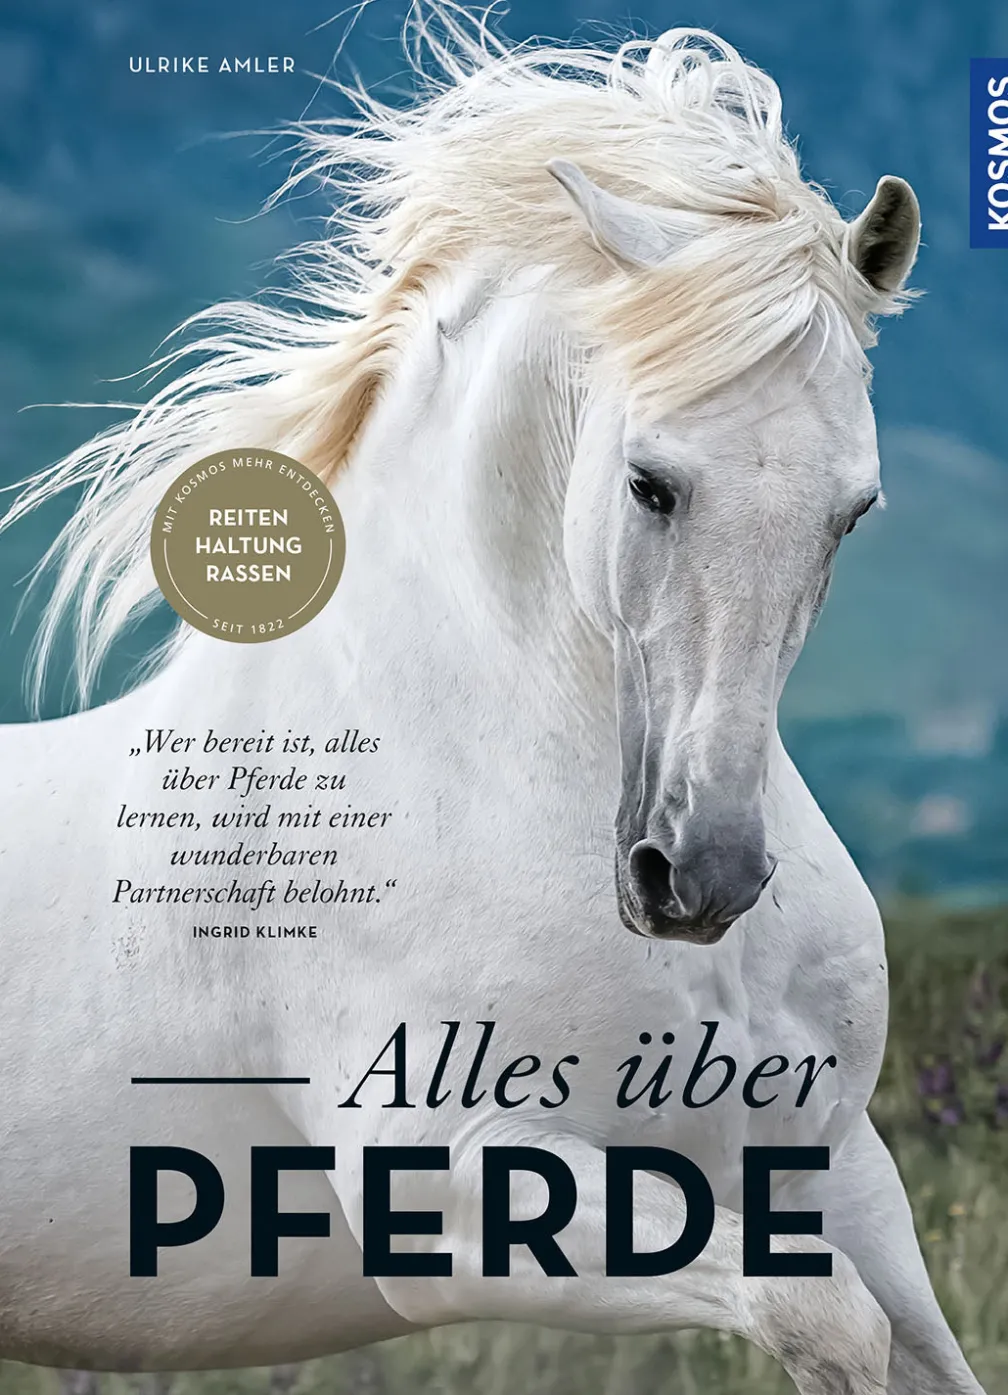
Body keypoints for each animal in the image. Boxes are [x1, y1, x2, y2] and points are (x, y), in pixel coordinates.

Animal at [0, 11, 987, 1394]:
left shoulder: (843, 1171)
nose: (702, 877)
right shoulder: (450, 1197)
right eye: (649, 482)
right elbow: (824, 1319)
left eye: (854, 510)